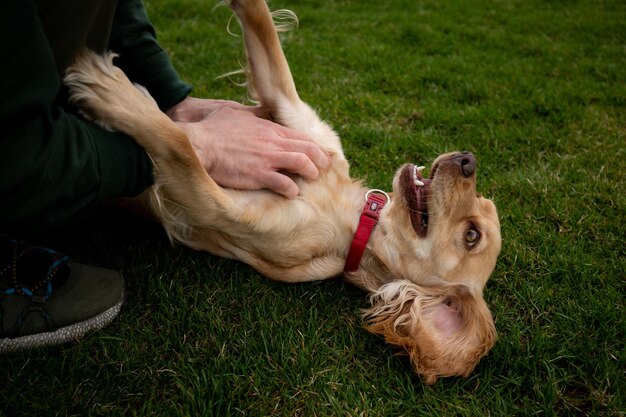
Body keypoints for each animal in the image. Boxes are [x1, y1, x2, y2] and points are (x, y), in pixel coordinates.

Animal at [64, 0, 502, 382]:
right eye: (485, 202)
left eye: (472, 235)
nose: (468, 159)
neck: (350, 214)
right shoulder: (290, 114)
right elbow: (262, 25)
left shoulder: (215, 210)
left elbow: (179, 143)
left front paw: (113, 94)